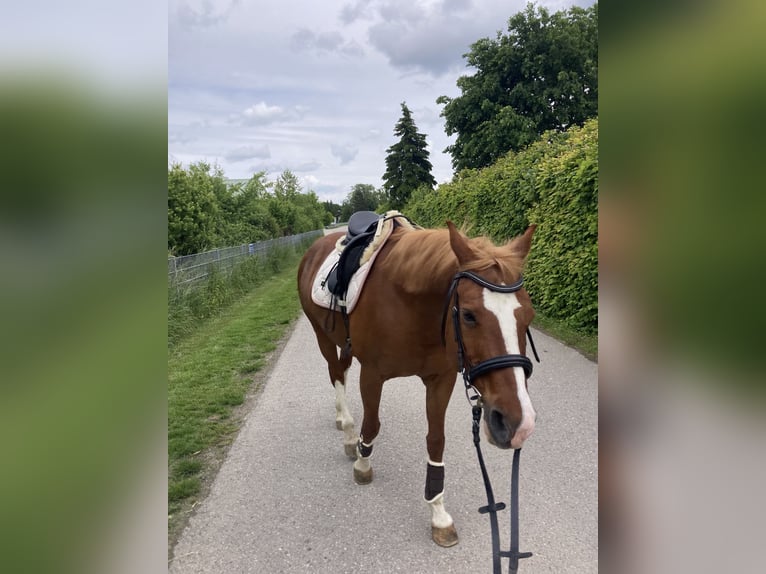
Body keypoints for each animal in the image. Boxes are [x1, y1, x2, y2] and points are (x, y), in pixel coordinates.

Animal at [297, 218, 538, 547]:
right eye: (468, 315)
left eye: (529, 316)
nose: (516, 424)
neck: (410, 305)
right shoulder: (372, 374)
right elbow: (372, 425)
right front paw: (362, 464)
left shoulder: (441, 380)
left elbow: (436, 440)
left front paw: (438, 514)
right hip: (321, 335)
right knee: (336, 374)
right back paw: (346, 430)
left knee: (340, 371)